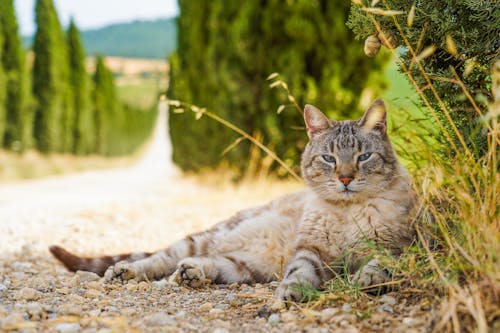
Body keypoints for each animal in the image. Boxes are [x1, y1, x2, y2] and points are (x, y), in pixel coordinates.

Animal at [50, 99, 418, 300]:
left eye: (362, 157)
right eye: (329, 159)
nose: (345, 178)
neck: (346, 213)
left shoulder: (402, 246)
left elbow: (381, 264)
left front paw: (368, 280)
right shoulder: (310, 252)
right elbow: (299, 273)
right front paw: (293, 293)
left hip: (247, 267)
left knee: (212, 263)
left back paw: (192, 274)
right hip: (208, 237)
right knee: (160, 258)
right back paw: (126, 272)